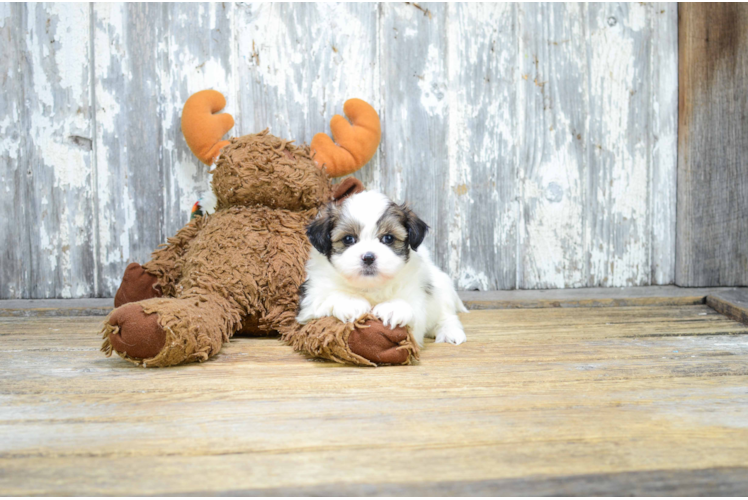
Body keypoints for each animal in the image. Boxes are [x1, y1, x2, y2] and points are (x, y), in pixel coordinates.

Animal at [298, 189, 468, 346]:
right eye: (348, 239)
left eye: (388, 238)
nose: (368, 257)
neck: (369, 287)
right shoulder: (309, 300)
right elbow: (325, 298)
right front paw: (350, 301)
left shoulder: (416, 296)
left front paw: (393, 307)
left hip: (441, 288)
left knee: (446, 315)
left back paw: (449, 331)